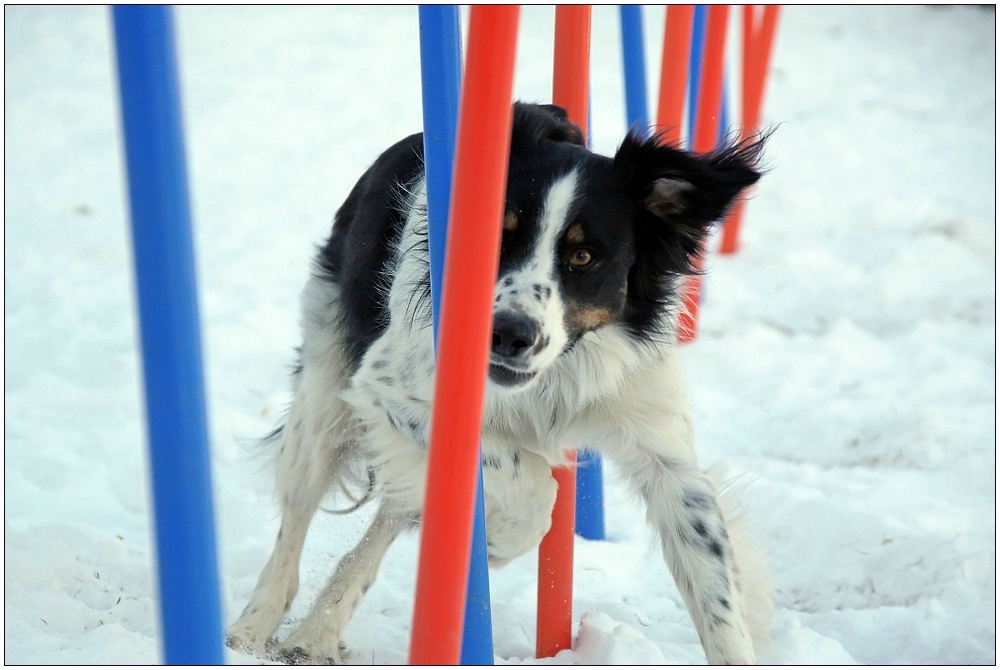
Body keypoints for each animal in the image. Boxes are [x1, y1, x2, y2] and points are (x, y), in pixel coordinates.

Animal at [227, 103, 768, 668]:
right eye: (498, 239)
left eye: (584, 257)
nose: (509, 334)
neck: (552, 377)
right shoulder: (386, 387)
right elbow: (529, 485)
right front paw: (498, 544)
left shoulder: (664, 454)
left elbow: (715, 588)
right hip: (323, 399)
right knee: (294, 522)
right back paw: (252, 630)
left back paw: (316, 634)